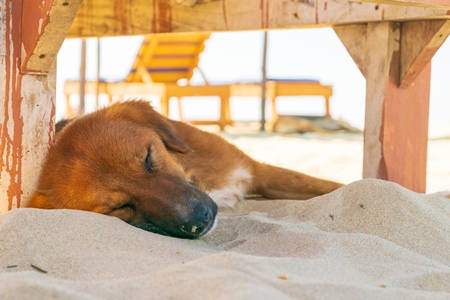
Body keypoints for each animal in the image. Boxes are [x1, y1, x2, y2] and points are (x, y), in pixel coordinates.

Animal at [26, 101, 342, 239]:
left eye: (148, 158)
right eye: (120, 207)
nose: (199, 220)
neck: (198, 177)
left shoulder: (256, 171)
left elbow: (333, 187)